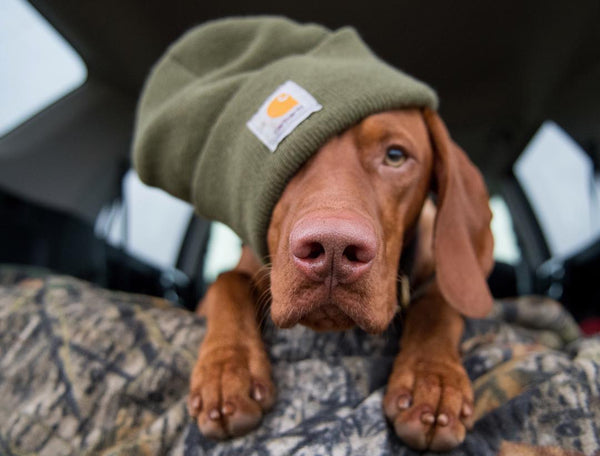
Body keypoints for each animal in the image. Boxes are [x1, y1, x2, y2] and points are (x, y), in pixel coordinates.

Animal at [186, 107, 492, 452]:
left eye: (395, 156)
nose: (333, 247)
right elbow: (227, 283)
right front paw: (226, 372)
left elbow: (437, 305)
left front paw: (433, 380)